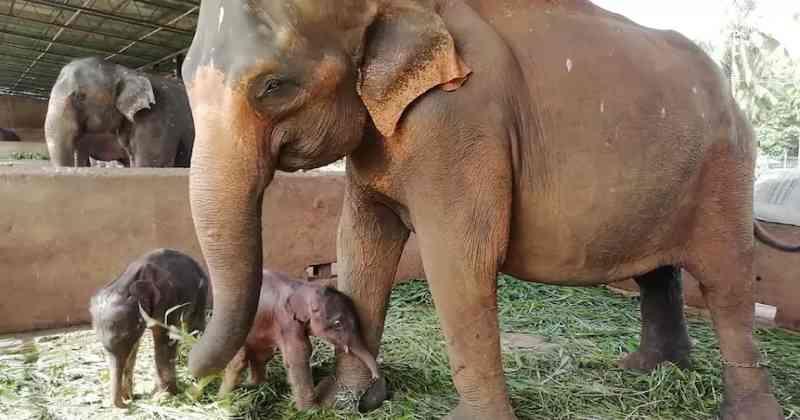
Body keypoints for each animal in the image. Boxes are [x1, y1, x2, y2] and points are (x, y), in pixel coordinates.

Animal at [89, 248, 208, 408]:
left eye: (125, 336)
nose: (126, 405)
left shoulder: (167, 300)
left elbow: (165, 340)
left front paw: (162, 398)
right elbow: (134, 347)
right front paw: (130, 396)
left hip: (202, 292)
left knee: (196, 326)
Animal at [219, 270, 382, 408]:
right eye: (337, 324)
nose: (375, 378)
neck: (303, 288)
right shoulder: (286, 320)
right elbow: (299, 355)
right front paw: (311, 410)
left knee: (260, 355)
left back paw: (253, 385)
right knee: (239, 359)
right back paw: (223, 398)